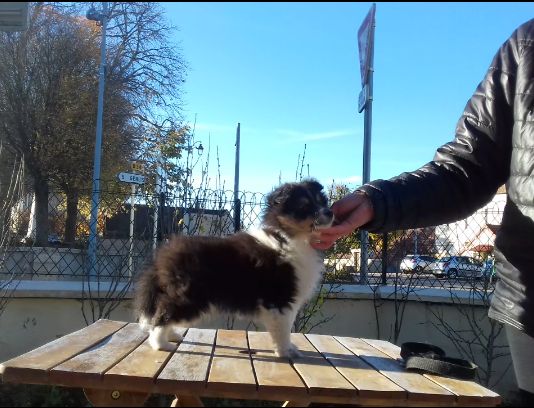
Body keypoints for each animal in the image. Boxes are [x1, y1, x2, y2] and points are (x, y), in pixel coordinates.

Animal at [133, 178, 336, 356]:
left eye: (322, 201)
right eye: (304, 206)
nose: (330, 213)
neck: (288, 236)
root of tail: (164, 254)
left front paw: (288, 348)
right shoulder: (280, 298)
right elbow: (283, 329)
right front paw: (286, 351)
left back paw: (172, 335)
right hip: (190, 294)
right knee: (164, 313)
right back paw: (160, 343)